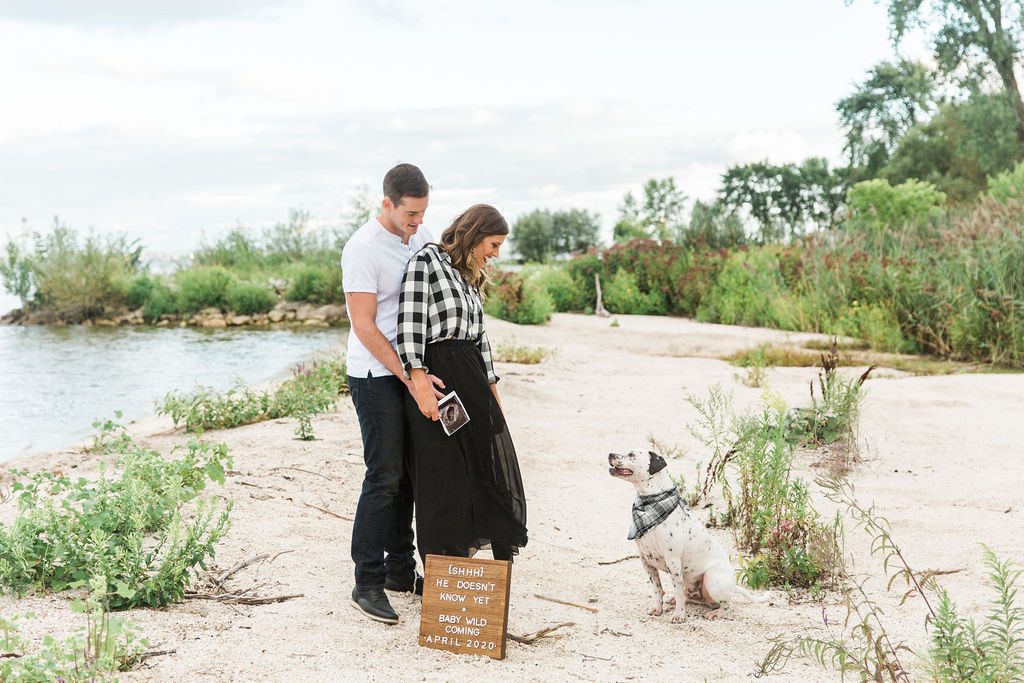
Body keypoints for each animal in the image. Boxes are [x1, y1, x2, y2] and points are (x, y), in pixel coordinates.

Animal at [606, 450, 770, 622]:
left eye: (631, 454)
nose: (610, 454)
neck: (650, 504)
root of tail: (733, 585)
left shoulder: (673, 561)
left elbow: (677, 591)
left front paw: (679, 614)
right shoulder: (646, 561)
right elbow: (657, 589)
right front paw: (658, 608)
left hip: (712, 579)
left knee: (727, 604)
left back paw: (716, 613)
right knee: (693, 596)